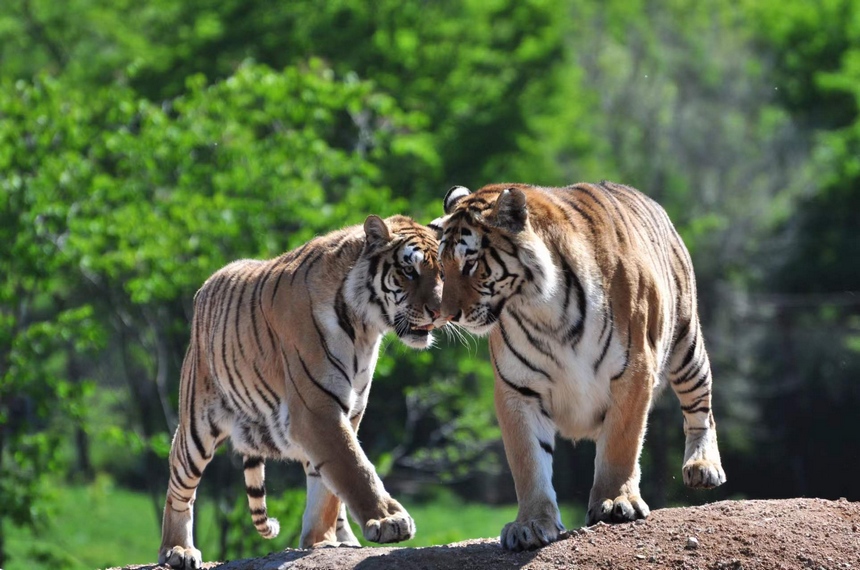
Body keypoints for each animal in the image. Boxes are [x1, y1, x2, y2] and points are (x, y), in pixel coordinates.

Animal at [158, 214, 444, 568]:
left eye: (443, 272)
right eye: (409, 271)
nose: (440, 311)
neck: (365, 328)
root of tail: (206, 286)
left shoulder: (348, 412)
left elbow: (329, 486)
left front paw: (321, 541)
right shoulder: (316, 410)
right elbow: (354, 466)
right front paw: (388, 521)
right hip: (197, 425)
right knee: (179, 488)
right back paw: (176, 550)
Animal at [430, 182, 724, 552]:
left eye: (470, 263)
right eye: (442, 266)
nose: (446, 315)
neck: (542, 310)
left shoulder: (633, 372)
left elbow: (621, 444)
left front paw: (614, 502)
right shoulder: (518, 389)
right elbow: (529, 460)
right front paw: (530, 525)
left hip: (687, 343)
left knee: (701, 409)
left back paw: (703, 467)